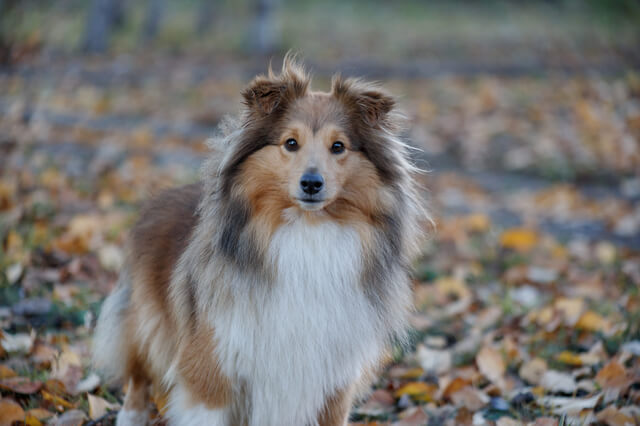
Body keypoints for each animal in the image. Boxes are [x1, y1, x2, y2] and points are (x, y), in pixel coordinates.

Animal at [94, 57, 424, 426]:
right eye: (290, 143)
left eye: (338, 146)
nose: (312, 183)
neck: (307, 232)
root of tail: (161, 196)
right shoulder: (212, 370)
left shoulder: (333, 384)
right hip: (147, 322)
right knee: (138, 374)